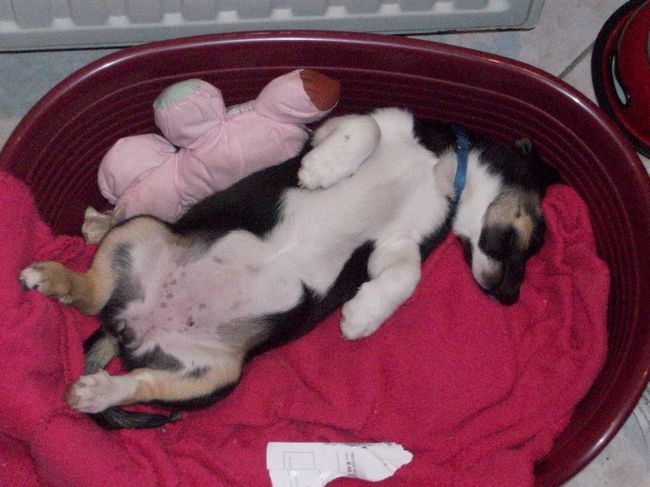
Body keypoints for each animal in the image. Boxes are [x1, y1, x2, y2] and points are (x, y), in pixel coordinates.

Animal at [19, 108, 556, 429]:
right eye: (537, 237)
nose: (509, 297)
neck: (443, 171)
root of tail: (132, 327)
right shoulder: (340, 125)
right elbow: (366, 131)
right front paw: (322, 171)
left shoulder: (398, 243)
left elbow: (405, 278)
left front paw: (362, 318)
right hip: (141, 229)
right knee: (92, 288)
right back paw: (52, 278)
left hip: (213, 376)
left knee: (136, 378)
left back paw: (94, 388)